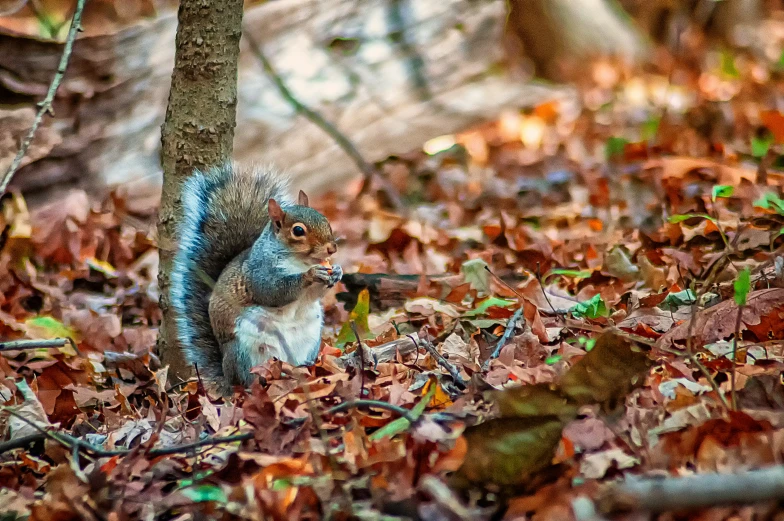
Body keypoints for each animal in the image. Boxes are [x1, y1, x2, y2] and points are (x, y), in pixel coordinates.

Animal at [170, 165, 342, 392]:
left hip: (310, 341)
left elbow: (314, 295)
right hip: (244, 352)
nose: (332, 248)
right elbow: (273, 291)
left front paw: (337, 271)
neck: (300, 261)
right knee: (246, 379)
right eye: (298, 230)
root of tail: (226, 378)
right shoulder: (259, 272)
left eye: (324, 219)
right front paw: (310, 275)